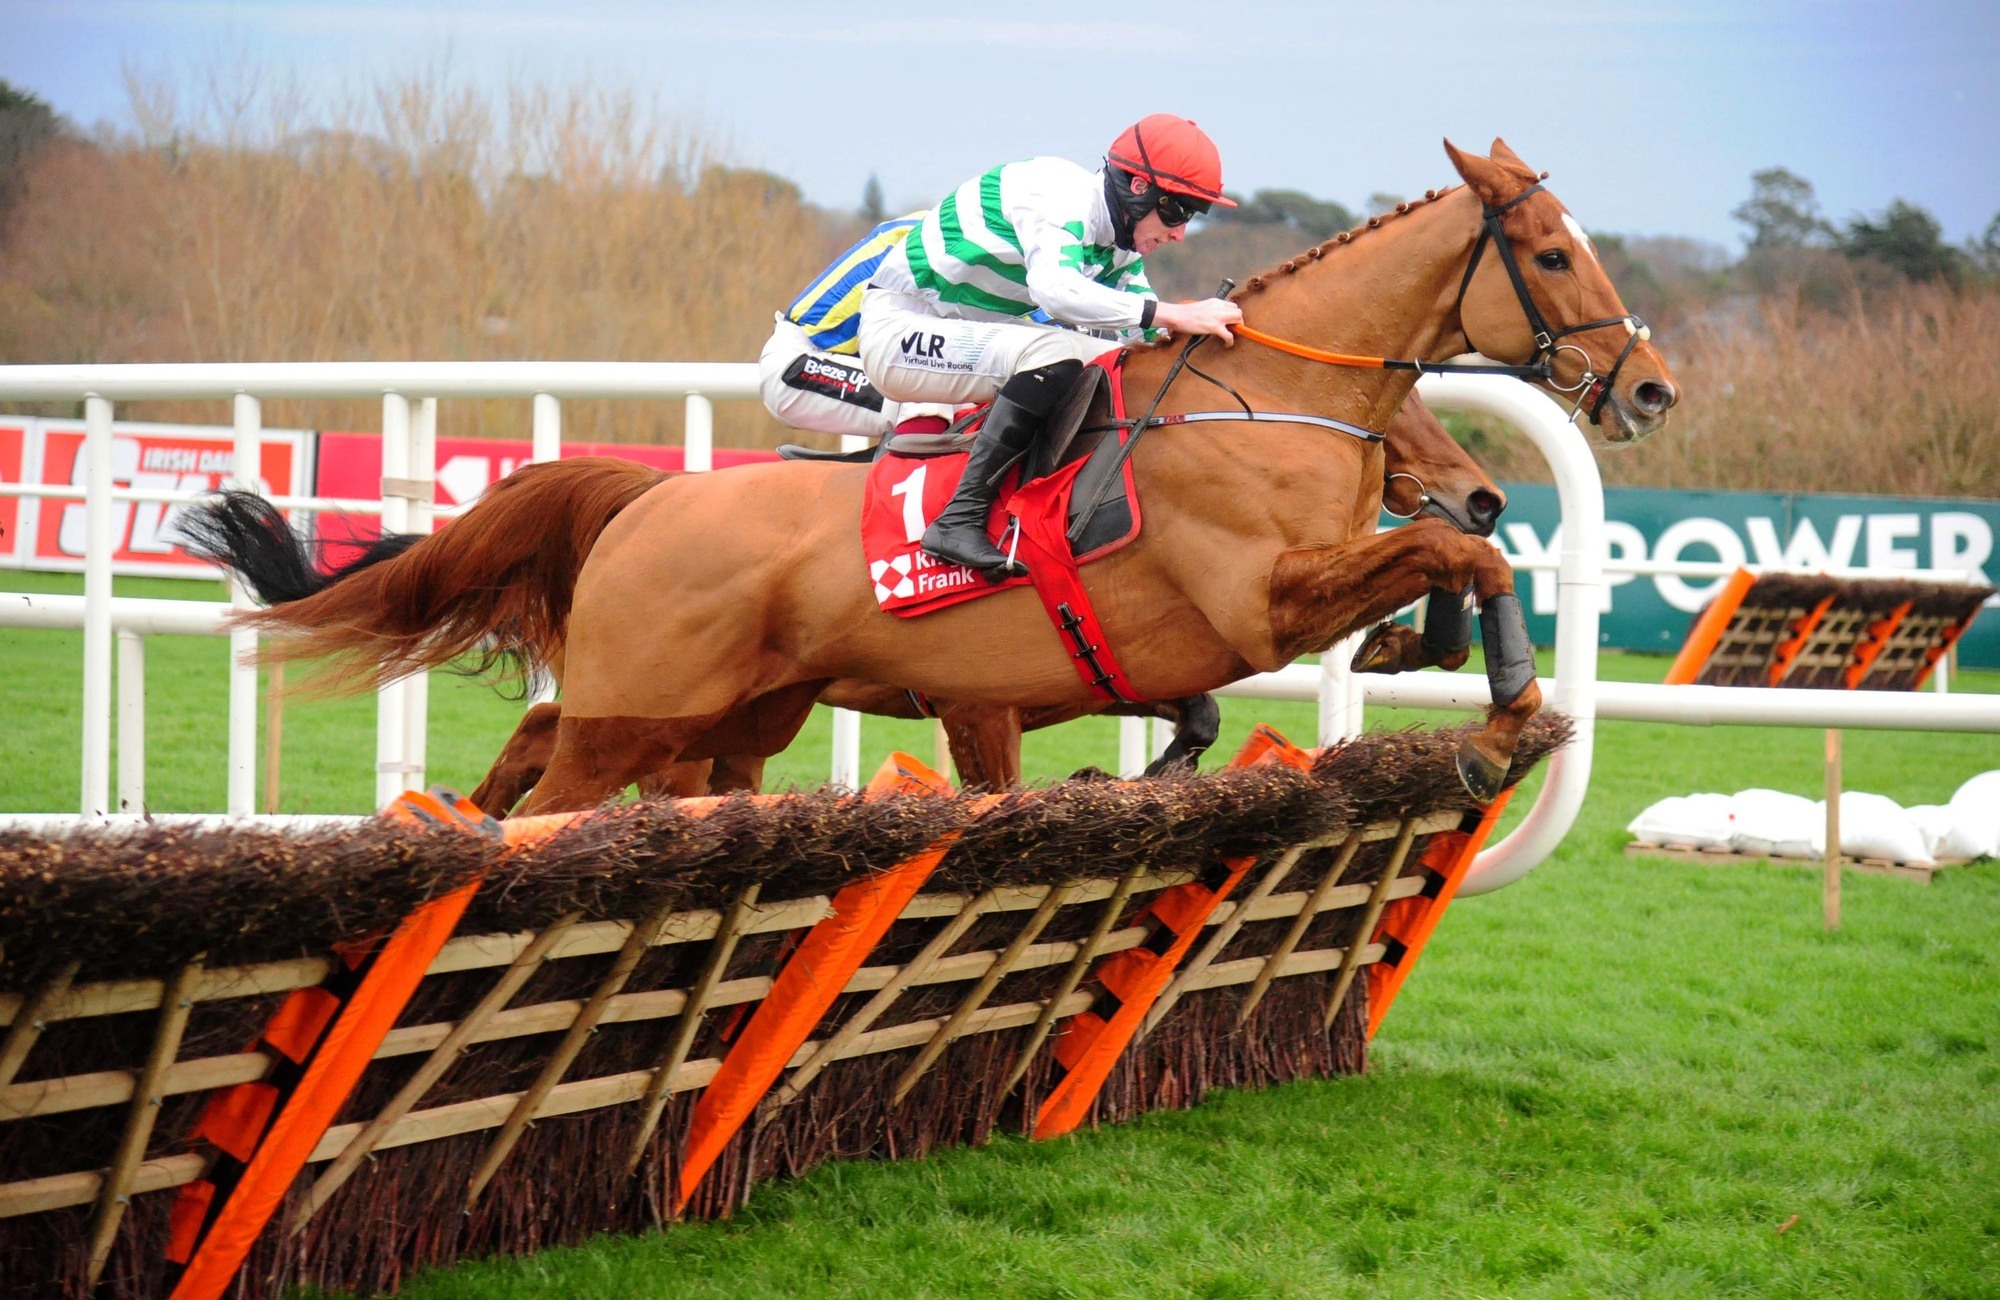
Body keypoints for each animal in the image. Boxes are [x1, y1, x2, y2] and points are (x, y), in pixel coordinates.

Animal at [461, 389, 1507, 813]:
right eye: (1400, 416)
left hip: (720, 708)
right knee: (567, 754)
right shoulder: (980, 705)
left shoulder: (1108, 661)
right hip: (665, 701)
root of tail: (651, 492)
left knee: (559, 734)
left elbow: (1200, 714)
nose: (1484, 498)